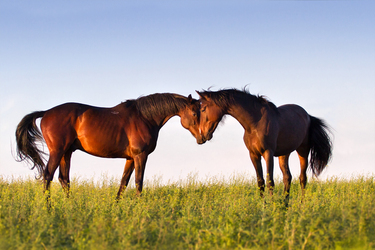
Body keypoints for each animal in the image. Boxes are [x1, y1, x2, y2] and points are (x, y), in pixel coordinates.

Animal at [16, 92, 206, 199]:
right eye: (195, 113)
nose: (203, 137)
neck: (145, 117)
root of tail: (46, 113)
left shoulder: (130, 158)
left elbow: (124, 182)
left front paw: (117, 207)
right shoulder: (140, 156)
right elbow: (138, 182)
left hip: (66, 152)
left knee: (64, 179)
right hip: (57, 151)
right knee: (48, 176)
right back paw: (48, 208)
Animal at [197, 89, 332, 204]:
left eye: (203, 109)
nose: (202, 136)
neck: (254, 124)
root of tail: (308, 116)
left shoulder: (268, 153)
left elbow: (269, 181)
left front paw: (271, 206)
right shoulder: (254, 154)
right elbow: (260, 181)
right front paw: (264, 206)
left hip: (303, 150)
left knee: (303, 178)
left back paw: (301, 205)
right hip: (284, 154)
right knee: (287, 177)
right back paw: (285, 204)